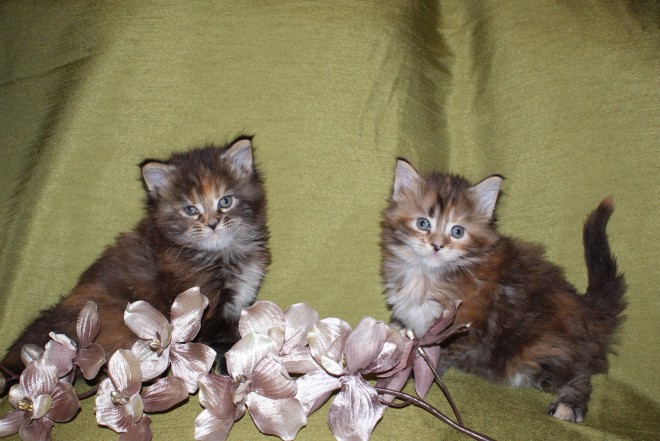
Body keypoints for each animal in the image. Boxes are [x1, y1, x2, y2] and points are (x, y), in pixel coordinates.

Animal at [1, 136, 268, 372]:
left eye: (225, 201)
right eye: (190, 209)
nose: (212, 224)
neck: (222, 253)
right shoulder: (203, 308)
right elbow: (228, 343)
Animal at [382, 159, 624, 422]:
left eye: (457, 231)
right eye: (423, 223)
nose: (437, 246)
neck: (427, 274)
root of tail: (586, 309)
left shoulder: (466, 325)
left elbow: (438, 354)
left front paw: (417, 372)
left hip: (539, 352)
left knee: (580, 372)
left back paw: (569, 404)